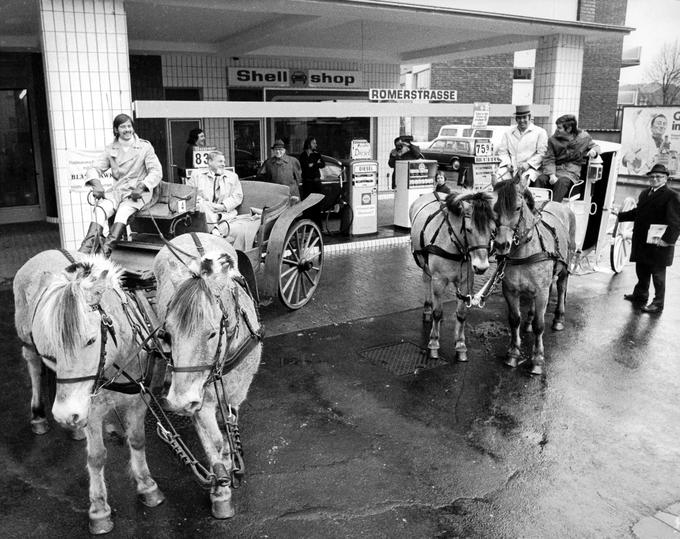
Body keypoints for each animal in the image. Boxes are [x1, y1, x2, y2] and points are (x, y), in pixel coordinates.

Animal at [13, 252, 165, 536]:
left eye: (92, 340)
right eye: (53, 341)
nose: (65, 414)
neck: (119, 361)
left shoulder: (139, 400)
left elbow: (138, 440)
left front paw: (147, 486)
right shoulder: (91, 410)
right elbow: (96, 457)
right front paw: (99, 509)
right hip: (28, 341)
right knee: (33, 364)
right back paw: (39, 416)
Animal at [153, 234, 262, 520]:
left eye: (212, 333)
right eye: (167, 334)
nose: (178, 402)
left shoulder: (235, 392)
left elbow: (229, 424)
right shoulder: (199, 398)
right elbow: (214, 440)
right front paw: (220, 488)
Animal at [410, 190, 494, 362]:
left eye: (491, 229)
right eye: (469, 229)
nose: (481, 267)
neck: (454, 242)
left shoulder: (465, 281)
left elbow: (461, 314)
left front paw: (460, 344)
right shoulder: (439, 280)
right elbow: (437, 312)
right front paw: (434, 343)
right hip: (424, 262)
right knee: (426, 280)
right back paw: (428, 308)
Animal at [492, 177, 576, 376]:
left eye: (517, 207)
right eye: (495, 208)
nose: (501, 245)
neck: (525, 250)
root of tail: (558, 204)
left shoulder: (542, 292)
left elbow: (540, 325)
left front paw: (537, 359)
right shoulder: (510, 290)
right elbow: (514, 320)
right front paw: (513, 353)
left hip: (564, 268)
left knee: (561, 288)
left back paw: (559, 319)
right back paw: (529, 320)